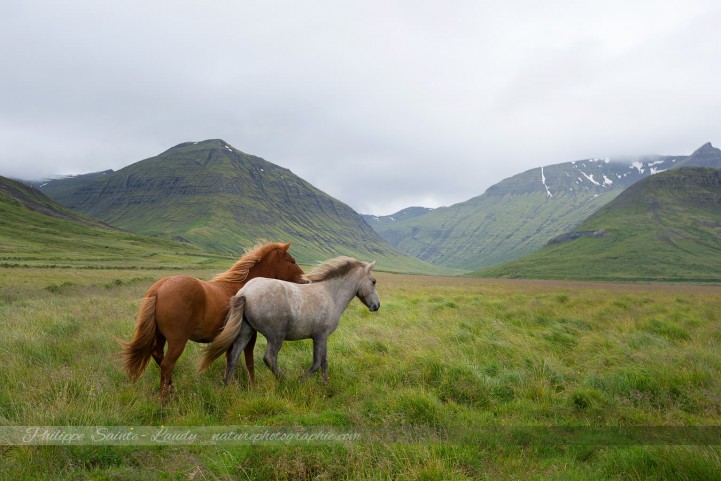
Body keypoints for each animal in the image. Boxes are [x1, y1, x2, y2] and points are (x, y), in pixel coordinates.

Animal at [118, 241, 306, 402]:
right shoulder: (249, 335)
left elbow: (231, 360)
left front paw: (230, 384)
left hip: (160, 337)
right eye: (292, 261)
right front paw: (252, 386)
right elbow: (249, 361)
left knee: (158, 357)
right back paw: (165, 400)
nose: (305, 281)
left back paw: (171, 389)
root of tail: (159, 288)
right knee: (166, 365)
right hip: (177, 341)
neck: (245, 286)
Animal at [199, 256, 380, 384]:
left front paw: (325, 383)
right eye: (373, 281)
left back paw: (226, 386)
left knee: (233, 357)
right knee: (269, 358)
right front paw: (300, 380)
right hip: (276, 336)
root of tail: (245, 292)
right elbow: (316, 363)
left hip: (246, 331)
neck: (330, 293)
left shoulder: (323, 338)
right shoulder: (320, 336)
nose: (376, 306)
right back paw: (285, 381)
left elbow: (324, 361)